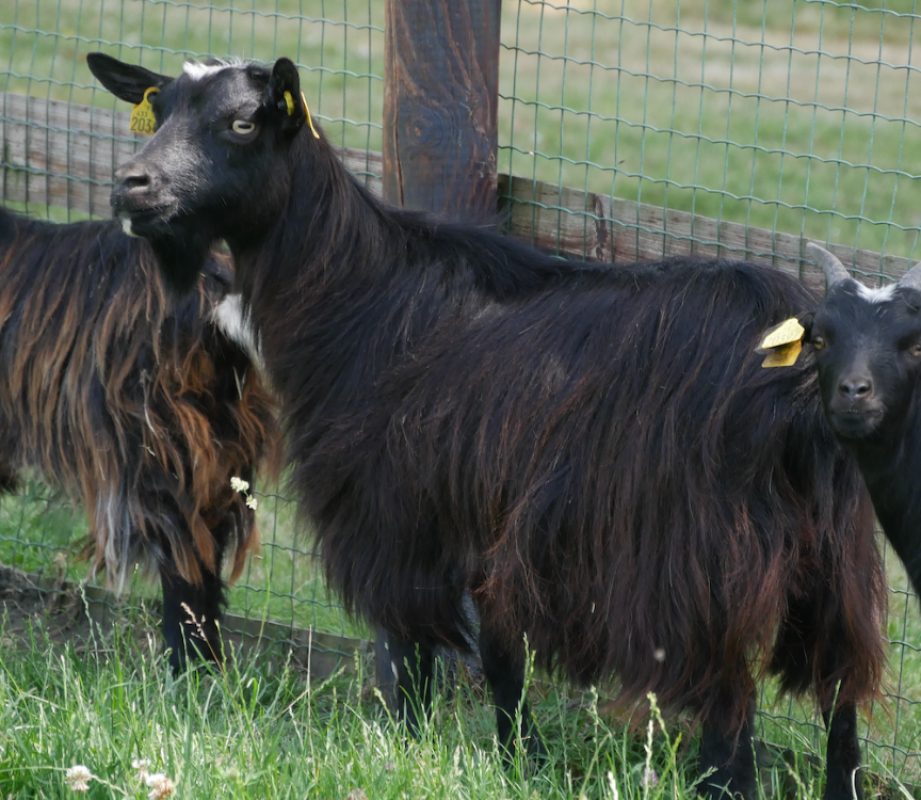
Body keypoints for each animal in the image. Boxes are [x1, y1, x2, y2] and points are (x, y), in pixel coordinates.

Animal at [0, 206, 276, 671]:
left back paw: (185, 666)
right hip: (221, 445)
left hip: (158, 446)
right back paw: (207, 663)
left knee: (185, 558)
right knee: (209, 544)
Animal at [90, 52, 885, 799]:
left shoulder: (394, 516)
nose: (131, 186)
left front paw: (407, 748)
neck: (353, 296)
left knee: (730, 711)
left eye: (242, 122)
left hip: (695, 569)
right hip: (834, 564)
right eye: (160, 107)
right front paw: (516, 761)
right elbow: (501, 664)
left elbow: (413, 653)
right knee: (840, 705)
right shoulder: (482, 528)